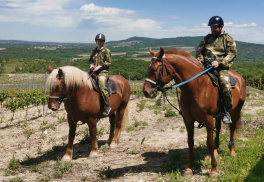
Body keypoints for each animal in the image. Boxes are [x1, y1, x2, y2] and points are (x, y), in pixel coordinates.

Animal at [143, 47, 246, 178]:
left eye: (155, 69)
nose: (146, 92)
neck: (197, 86)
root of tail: (239, 77)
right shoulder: (188, 120)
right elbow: (190, 142)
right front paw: (188, 168)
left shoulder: (208, 120)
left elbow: (209, 143)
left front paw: (214, 170)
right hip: (219, 115)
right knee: (218, 128)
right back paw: (216, 151)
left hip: (236, 110)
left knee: (232, 128)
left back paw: (232, 151)